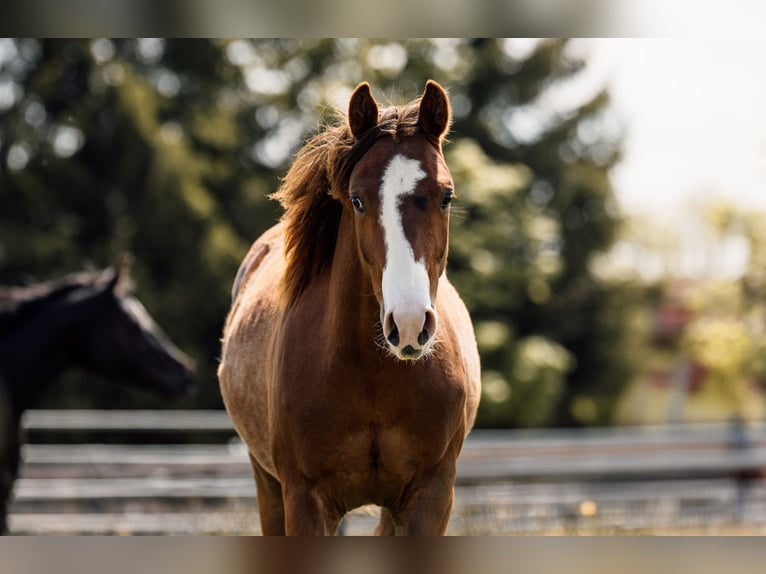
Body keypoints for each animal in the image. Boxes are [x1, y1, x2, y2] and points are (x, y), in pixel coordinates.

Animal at [219, 80, 481, 536]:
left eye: (446, 197)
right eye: (357, 200)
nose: (408, 325)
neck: (371, 376)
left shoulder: (430, 498)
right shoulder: (303, 500)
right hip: (266, 483)